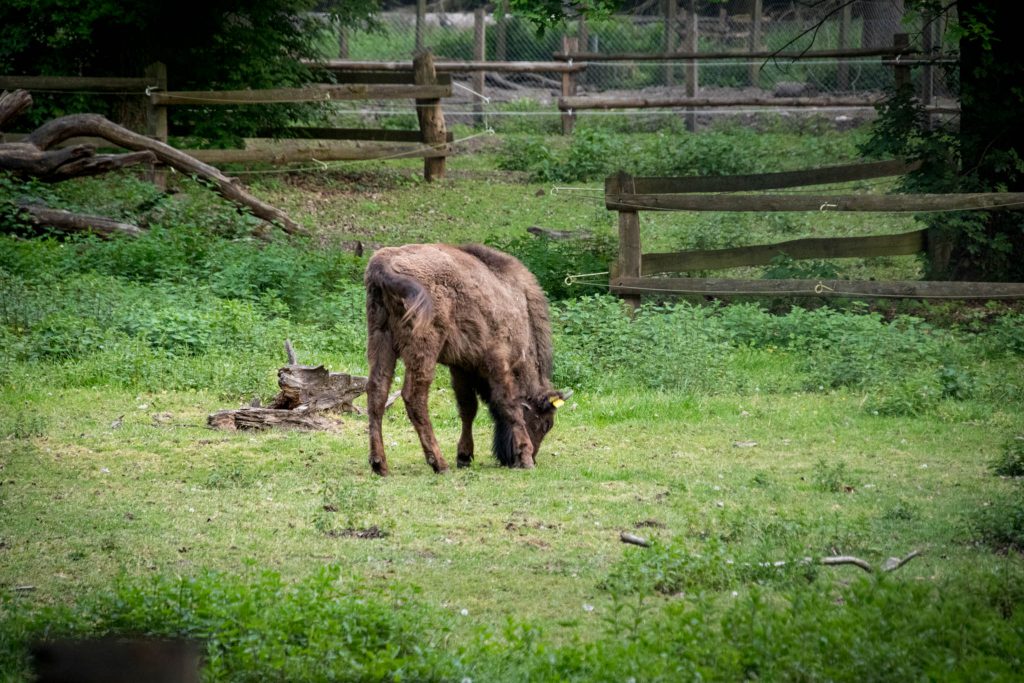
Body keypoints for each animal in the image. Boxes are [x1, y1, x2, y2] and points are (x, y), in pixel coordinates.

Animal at [364, 244, 569, 475]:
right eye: (545, 423)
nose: (530, 457)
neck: (519, 307)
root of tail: (381, 265)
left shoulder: (461, 366)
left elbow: (467, 408)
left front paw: (464, 456)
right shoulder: (497, 360)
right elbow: (509, 405)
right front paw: (525, 457)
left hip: (380, 339)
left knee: (377, 392)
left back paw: (380, 465)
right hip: (424, 348)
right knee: (414, 397)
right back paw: (439, 464)